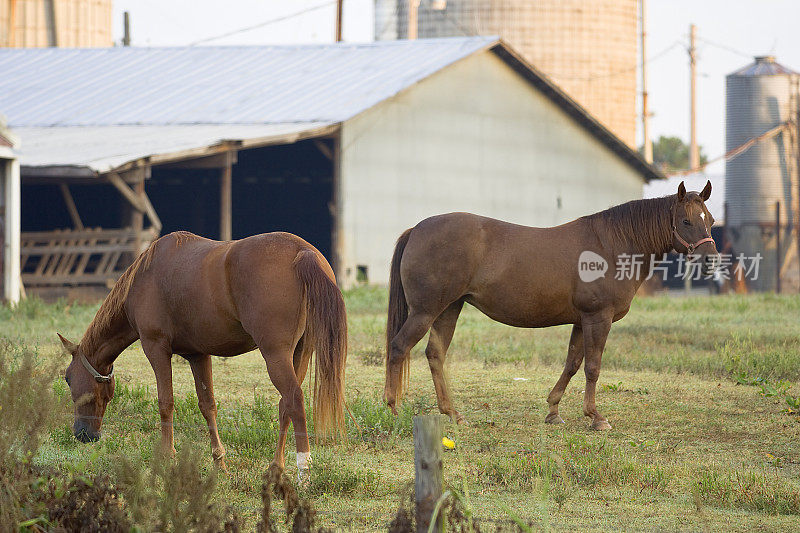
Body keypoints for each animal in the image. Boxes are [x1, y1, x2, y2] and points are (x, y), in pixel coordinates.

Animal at [56, 230, 344, 478]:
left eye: (68, 378)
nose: (83, 435)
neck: (146, 276)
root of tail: (303, 252)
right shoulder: (198, 355)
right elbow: (208, 406)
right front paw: (219, 463)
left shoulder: (156, 348)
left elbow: (166, 403)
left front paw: (167, 458)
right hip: (300, 353)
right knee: (286, 406)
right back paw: (275, 468)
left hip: (276, 355)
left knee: (294, 400)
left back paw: (303, 472)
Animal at [384, 181, 716, 430]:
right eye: (686, 221)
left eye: (710, 220)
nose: (711, 261)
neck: (611, 244)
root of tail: (416, 229)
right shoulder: (599, 317)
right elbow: (593, 367)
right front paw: (596, 417)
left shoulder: (582, 320)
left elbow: (573, 363)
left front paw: (554, 411)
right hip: (425, 311)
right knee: (399, 347)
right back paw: (392, 409)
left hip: (449, 308)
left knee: (435, 354)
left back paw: (452, 413)